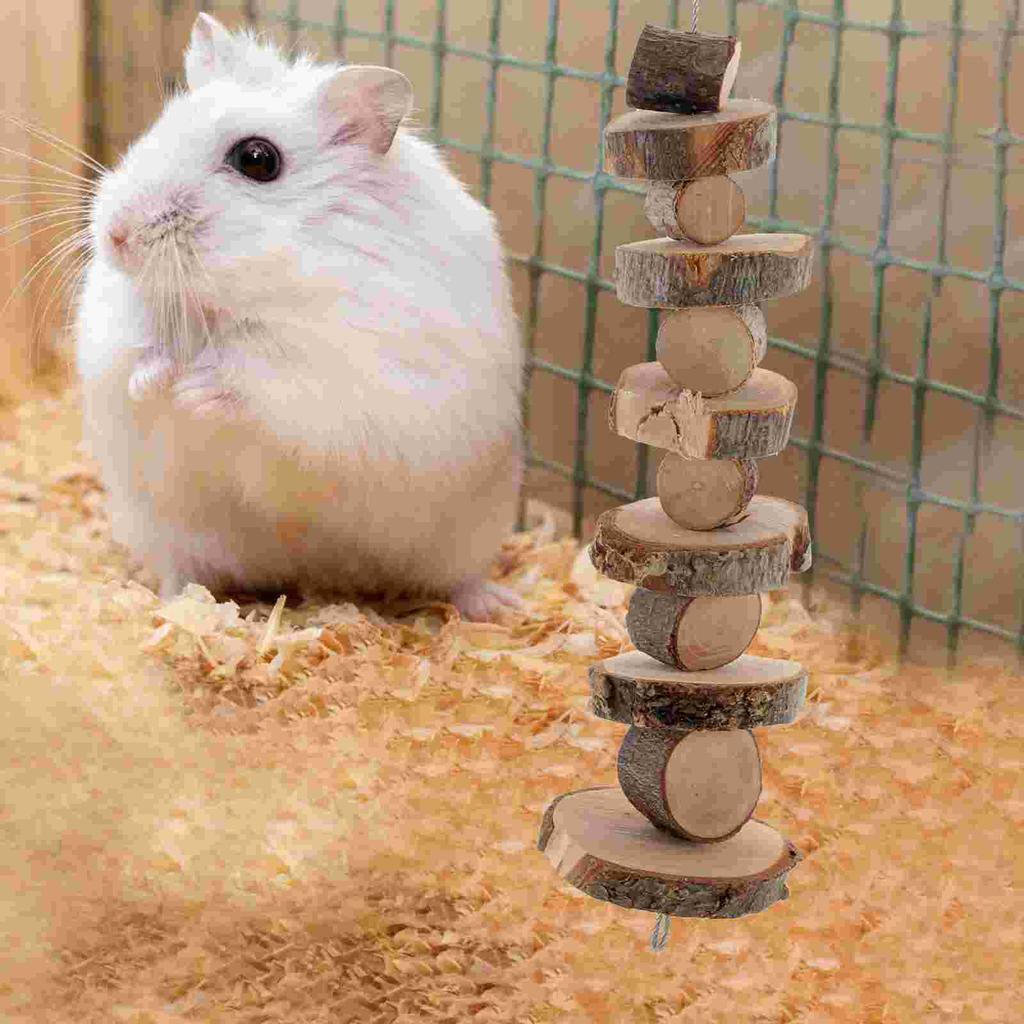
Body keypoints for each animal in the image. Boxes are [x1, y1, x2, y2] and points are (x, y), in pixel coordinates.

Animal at [75, 13, 525, 622]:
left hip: (473, 531)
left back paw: (498, 609)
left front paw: (194, 388)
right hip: (166, 530)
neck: (240, 299)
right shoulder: (115, 334)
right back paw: (173, 604)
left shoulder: (342, 369)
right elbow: (136, 357)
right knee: (184, 571)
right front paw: (157, 383)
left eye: (257, 159)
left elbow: (264, 380)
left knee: (461, 578)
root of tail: (324, 575)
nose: (116, 236)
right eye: (160, 127)